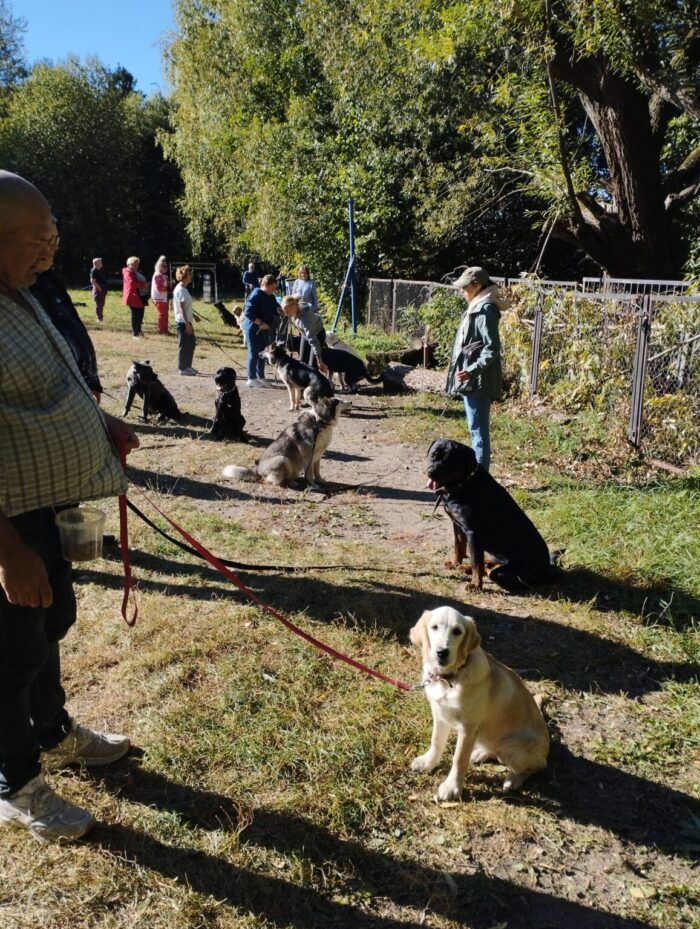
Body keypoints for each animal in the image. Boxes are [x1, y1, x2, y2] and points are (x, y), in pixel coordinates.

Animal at [408, 608, 548, 796]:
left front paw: (452, 787)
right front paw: (428, 763)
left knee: (534, 767)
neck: (449, 679)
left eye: (457, 631)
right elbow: (436, 741)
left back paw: (513, 779)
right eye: (434, 627)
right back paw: (480, 753)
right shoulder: (440, 714)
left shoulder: (468, 727)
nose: (442, 652)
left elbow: (459, 759)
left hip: (511, 745)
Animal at [424, 438, 556, 592]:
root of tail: (548, 571)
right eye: (433, 455)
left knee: (492, 571)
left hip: (509, 573)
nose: (430, 472)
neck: (464, 483)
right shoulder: (457, 524)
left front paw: (475, 584)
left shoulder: (473, 533)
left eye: (449, 462)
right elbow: (459, 546)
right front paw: (455, 563)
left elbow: (475, 561)